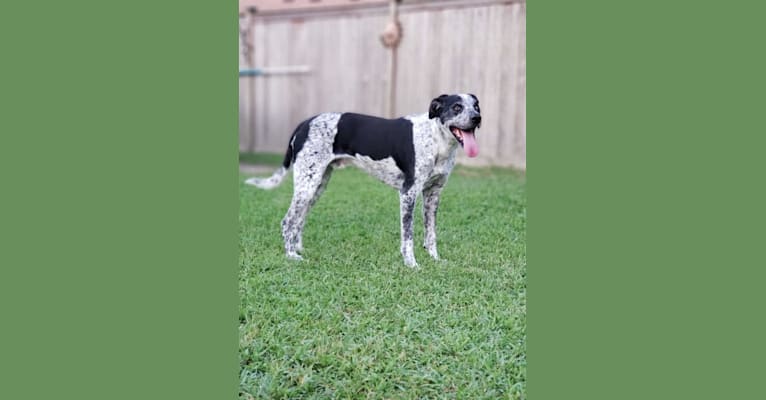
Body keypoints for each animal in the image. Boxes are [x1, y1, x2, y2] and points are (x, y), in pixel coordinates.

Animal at [246, 94, 484, 268]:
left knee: (299, 221)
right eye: (456, 107)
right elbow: (408, 236)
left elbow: (431, 233)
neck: (436, 140)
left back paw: (297, 249)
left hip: (317, 185)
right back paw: (291, 256)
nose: (477, 118)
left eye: (476, 106)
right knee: (288, 221)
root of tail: (305, 123)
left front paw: (435, 260)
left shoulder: (433, 194)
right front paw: (411, 264)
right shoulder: (408, 193)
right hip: (307, 184)